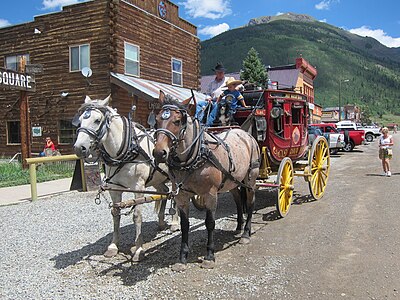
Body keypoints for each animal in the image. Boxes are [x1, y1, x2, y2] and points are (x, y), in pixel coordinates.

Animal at [73, 95, 178, 260]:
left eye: (97, 120)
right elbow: (115, 214)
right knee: (164, 193)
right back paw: (161, 222)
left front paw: (139, 249)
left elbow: (137, 215)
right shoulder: (114, 187)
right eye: (81, 120)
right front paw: (113, 246)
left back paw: (175, 223)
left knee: (176, 196)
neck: (126, 150)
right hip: (157, 178)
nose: (79, 148)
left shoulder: (139, 187)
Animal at [152, 91, 260, 270]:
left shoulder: (210, 194)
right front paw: (182, 257)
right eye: (157, 119)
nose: (159, 153)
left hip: (250, 179)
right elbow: (185, 225)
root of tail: (246, 135)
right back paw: (239, 226)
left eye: (177, 121)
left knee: (251, 203)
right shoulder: (181, 196)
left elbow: (210, 222)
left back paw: (245, 233)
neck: (195, 157)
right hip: (232, 181)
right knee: (239, 200)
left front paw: (209, 255)